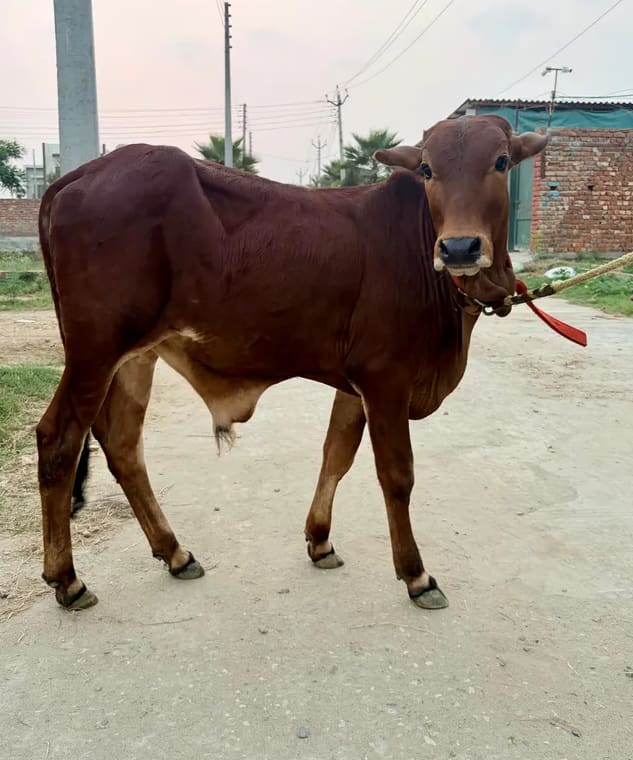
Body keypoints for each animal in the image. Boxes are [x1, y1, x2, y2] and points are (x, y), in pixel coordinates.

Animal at [36, 114, 547, 611]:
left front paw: (319, 541)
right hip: (94, 353)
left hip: (134, 357)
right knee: (58, 440)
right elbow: (396, 475)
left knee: (122, 444)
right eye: (426, 169)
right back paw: (68, 579)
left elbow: (336, 455)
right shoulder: (385, 379)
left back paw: (175, 552)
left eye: (501, 161)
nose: (459, 248)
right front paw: (415, 574)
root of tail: (72, 178)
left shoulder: (354, 385)